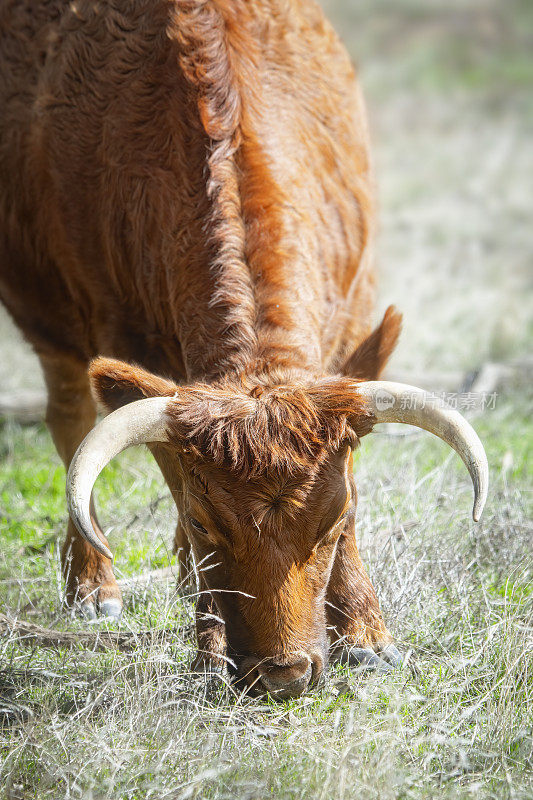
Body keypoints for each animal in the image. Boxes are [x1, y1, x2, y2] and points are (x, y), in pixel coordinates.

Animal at [0, 0, 486, 696]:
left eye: (332, 519)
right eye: (209, 523)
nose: (283, 673)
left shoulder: (354, 324)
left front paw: (367, 636)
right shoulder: (127, 341)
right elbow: (174, 484)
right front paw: (210, 650)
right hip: (48, 312)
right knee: (68, 418)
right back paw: (95, 586)